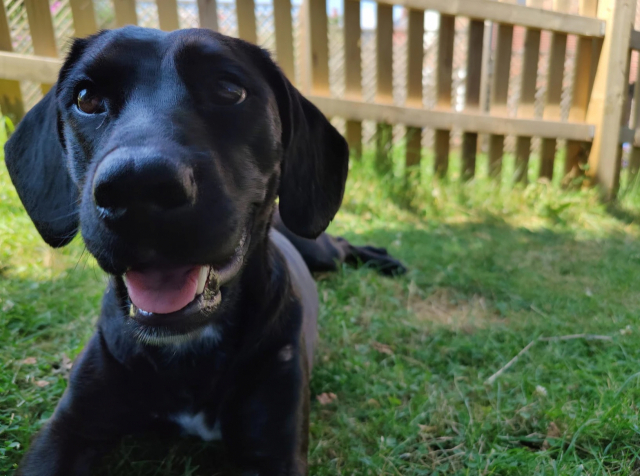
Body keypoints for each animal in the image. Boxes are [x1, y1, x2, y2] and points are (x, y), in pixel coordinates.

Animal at [5, 27, 402, 476]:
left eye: (229, 90)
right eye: (86, 98)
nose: (137, 186)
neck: (189, 349)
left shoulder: (275, 450)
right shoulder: (68, 429)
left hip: (320, 250)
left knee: (346, 246)